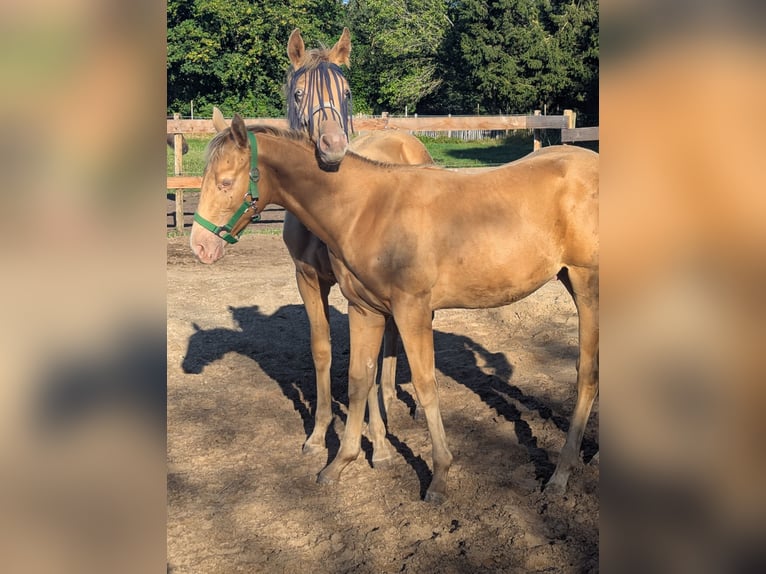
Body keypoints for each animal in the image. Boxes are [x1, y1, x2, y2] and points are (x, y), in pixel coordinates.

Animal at [189, 118, 599, 503]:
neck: (365, 209)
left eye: (225, 182)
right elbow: (359, 379)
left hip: (587, 285)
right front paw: (341, 462)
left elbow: (425, 384)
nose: (200, 247)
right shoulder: (364, 310)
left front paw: (440, 475)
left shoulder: (411, 309)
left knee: (587, 375)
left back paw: (561, 474)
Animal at [202, 28, 433, 463]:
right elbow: (323, 350)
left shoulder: (354, 289)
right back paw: (389, 395)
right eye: (298, 94)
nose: (333, 145)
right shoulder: (307, 279)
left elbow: (365, 363)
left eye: (346, 91)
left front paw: (378, 442)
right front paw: (319, 432)